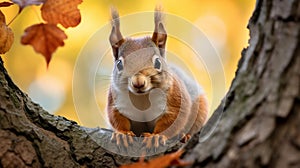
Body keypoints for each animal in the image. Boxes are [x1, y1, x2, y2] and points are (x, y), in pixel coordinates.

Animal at [106, 6, 207, 148]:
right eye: (119, 64)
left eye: (158, 62)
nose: (138, 83)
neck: (142, 98)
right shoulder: (115, 100)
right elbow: (116, 118)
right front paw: (123, 134)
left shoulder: (176, 99)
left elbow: (171, 121)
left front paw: (156, 137)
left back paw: (185, 136)